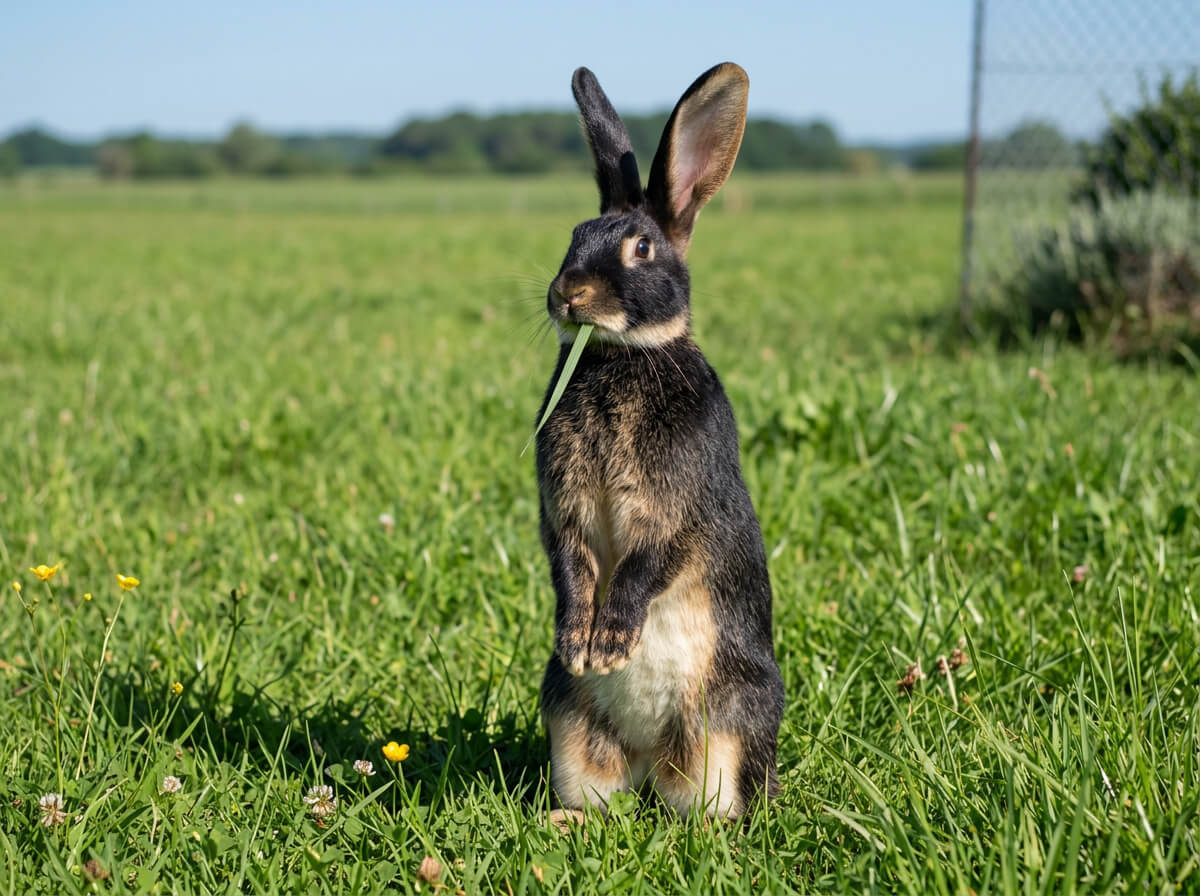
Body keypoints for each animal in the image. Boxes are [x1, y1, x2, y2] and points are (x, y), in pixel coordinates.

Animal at [535, 62, 783, 819]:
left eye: (641, 248)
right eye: (575, 232)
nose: (569, 294)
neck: (623, 354)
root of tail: (648, 759)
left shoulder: (677, 506)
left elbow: (651, 560)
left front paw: (612, 641)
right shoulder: (564, 511)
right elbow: (570, 561)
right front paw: (578, 641)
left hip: (725, 725)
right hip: (568, 722)